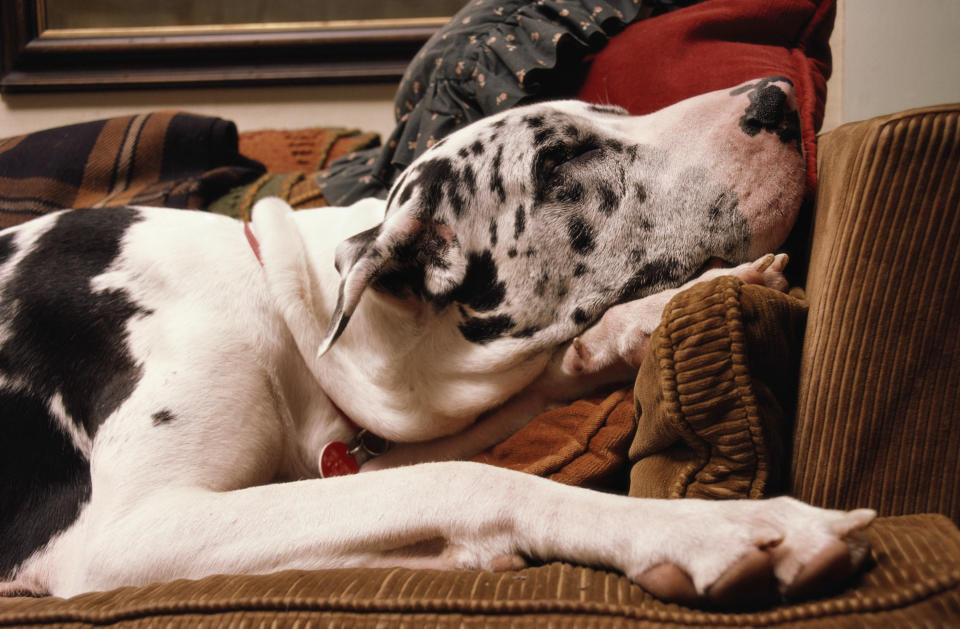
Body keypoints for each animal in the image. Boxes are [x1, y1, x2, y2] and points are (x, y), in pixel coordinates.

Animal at [0, 76, 872, 604]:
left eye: (616, 116)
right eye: (562, 161)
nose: (777, 95)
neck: (285, 311)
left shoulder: (354, 450)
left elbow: (509, 405)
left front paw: (662, 312)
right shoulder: (132, 531)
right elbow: (472, 478)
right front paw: (716, 527)